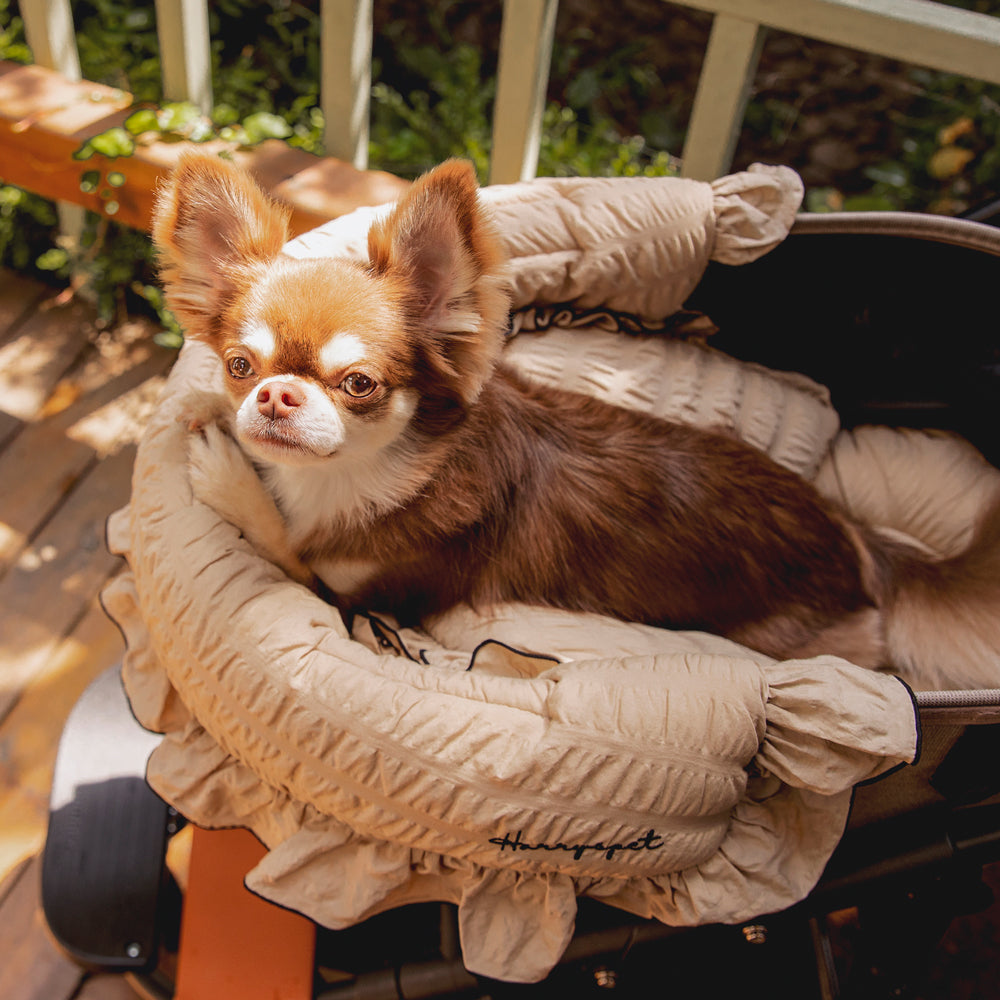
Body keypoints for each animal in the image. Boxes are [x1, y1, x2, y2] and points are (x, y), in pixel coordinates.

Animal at [152, 154, 1000, 688]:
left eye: (359, 384)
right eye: (240, 366)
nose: (275, 396)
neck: (369, 472)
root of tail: (855, 540)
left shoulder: (369, 598)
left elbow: (287, 551)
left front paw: (229, 478)